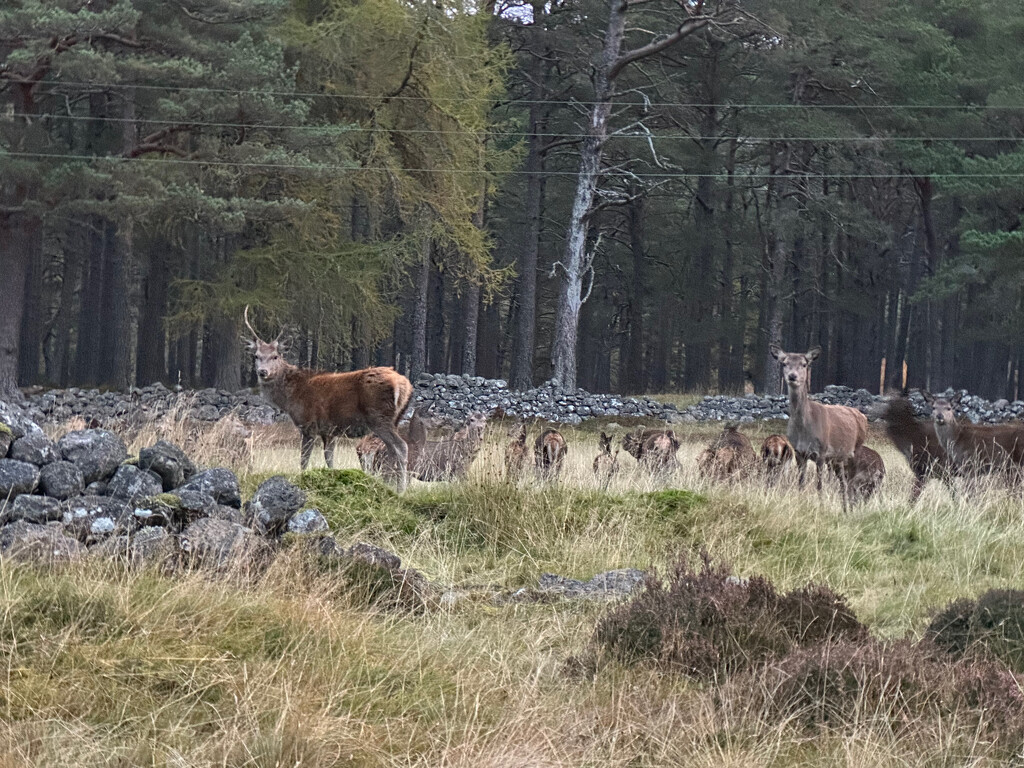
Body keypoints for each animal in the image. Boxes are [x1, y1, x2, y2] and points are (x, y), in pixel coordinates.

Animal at [770, 344, 868, 512]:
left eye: (804, 364)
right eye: (784, 363)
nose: (792, 376)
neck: (804, 431)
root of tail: (863, 415)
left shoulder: (821, 452)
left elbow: (819, 485)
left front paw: (821, 507)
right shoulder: (799, 453)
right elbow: (801, 484)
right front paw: (800, 504)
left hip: (856, 449)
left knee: (850, 482)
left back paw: (850, 508)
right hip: (838, 459)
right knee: (843, 483)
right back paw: (845, 509)